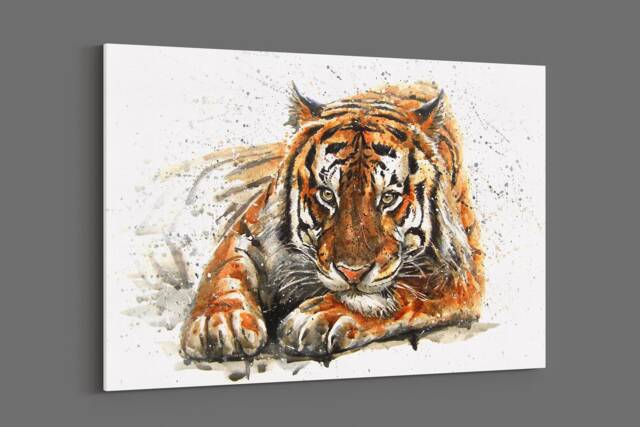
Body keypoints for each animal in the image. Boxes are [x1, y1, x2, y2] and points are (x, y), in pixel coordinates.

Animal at [180, 81, 485, 361]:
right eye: (327, 194)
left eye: (388, 198)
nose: (352, 273)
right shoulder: (248, 228)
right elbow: (224, 268)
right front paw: (219, 321)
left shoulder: (462, 271)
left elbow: (411, 290)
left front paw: (320, 315)